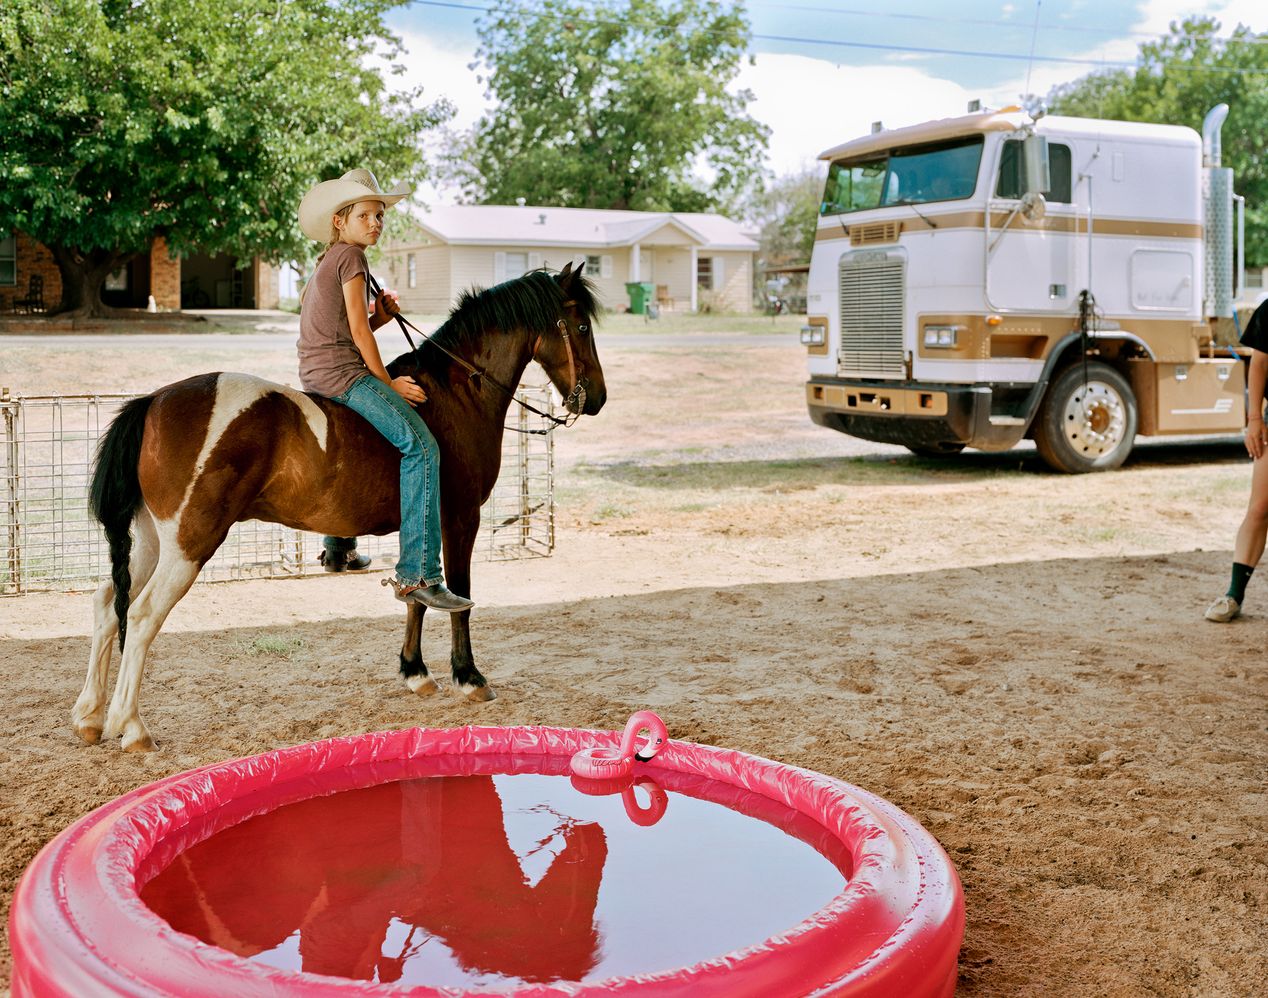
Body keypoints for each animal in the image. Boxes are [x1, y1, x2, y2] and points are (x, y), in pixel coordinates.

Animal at [71, 263, 606, 750]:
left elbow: (418, 593)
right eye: (581, 327)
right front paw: (468, 676)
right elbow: (459, 595)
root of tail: (153, 401)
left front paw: (415, 671)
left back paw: (91, 716)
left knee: (108, 604)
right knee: (141, 617)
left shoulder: (424, 519)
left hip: (151, 543)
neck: (452, 393)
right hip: (188, 544)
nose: (597, 398)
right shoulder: (460, 519)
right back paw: (132, 727)